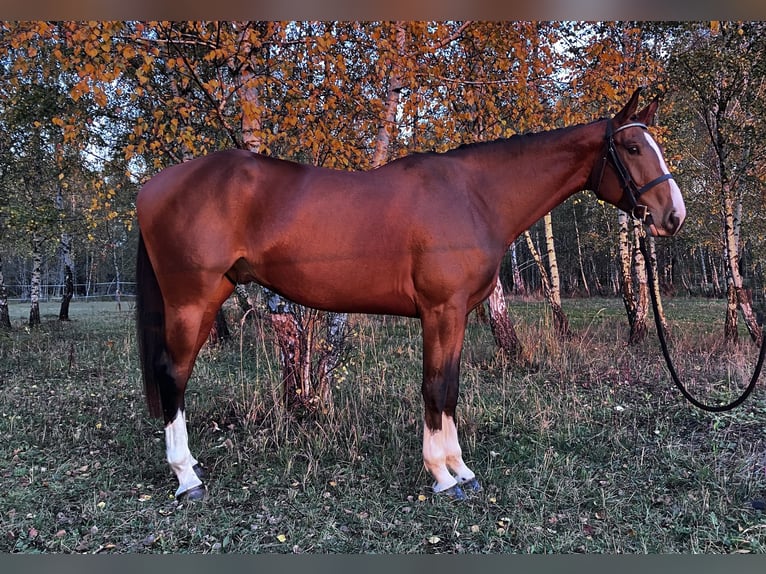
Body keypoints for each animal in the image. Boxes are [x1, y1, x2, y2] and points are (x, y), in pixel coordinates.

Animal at [136, 88, 686, 501]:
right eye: (633, 150)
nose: (673, 215)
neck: (474, 196)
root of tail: (153, 186)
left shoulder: (456, 315)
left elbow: (451, 387)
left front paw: (461, 470)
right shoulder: (441, 311)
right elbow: (435, 387)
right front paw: (442, 476)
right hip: (192, 303)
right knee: (173, 376)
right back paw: (186, 477)